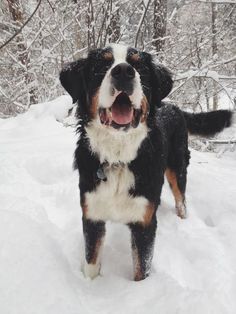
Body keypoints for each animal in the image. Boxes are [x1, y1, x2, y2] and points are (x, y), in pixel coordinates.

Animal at [60, 43, 233, 280]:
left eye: (138, 66)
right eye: (102, 65)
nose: (123, 71)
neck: (119, 158)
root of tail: (174, 107)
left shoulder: (145, 223)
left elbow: (141, 269)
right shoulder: (92, 216)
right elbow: (91, 263)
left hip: (177, 169)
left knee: (181, 200)